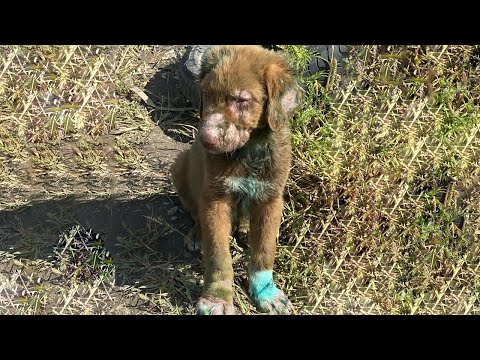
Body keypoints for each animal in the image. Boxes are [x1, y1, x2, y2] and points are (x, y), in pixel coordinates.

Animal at [171, 45, 302, 316]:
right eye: (206, 94)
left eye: (242, 100)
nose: (205, 141)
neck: (248, 150)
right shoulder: (215, 198)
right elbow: (218, 255)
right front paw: (217, 299)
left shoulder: (271, 198)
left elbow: (264, 249)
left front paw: (265, 290)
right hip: (179, 166)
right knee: (196, 212)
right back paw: (198, 234)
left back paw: (243, 229)